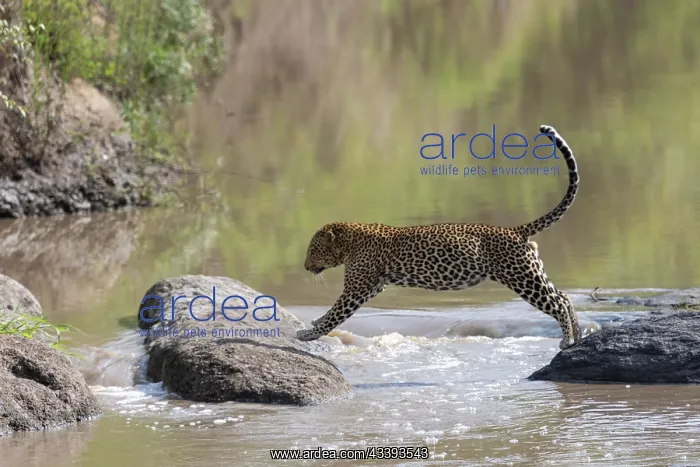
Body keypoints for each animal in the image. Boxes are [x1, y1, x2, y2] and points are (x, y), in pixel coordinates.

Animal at [297, 124, 582, 350]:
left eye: (312, 250)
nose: (306, 267)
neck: (349, 242)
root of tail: (515, 230)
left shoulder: (357, 289)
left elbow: (335, 314)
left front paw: (307, 334)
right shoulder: (374, 286)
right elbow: (331, 312)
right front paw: (314, 322)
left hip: (521, 277)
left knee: (557, 303)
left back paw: (566, 340)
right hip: (532, 272)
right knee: (564, 297)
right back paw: (577, 337)